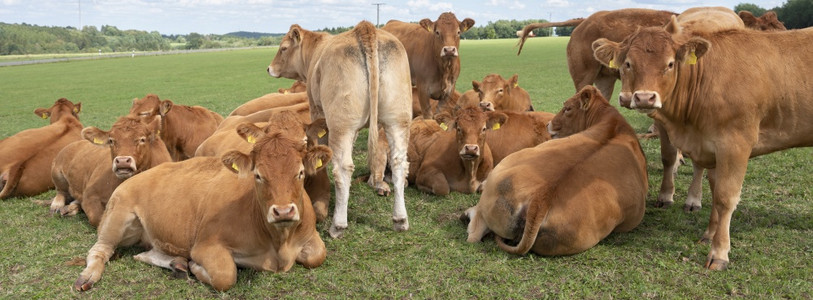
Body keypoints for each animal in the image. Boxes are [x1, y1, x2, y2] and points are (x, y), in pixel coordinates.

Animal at [73, 120, 330, 292]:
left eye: (300, 173)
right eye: (258, 175)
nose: (283, 211)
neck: (278, 243)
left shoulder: (310, 235)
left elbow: (318, 255)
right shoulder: (206, 245)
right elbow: (225, 275)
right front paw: (196, 268)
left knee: (148, 251)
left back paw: (176, 263)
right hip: (117, 215)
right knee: (100, 250)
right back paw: (88, 276)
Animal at [268, 20, 412, 239]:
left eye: (283, 48)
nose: (269, 68)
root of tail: (365, 28)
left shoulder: (317, 111)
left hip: (341, 123)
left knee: (343, 168)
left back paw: (338, 225)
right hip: (397, 119)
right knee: (399, 162)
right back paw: (400, 220)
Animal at [588, 15, 812, 270]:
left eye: (670, 64)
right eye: (628, 63)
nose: (644, 98)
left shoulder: (735, 145)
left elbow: (725, 197)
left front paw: (719, 252)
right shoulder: (711, 147)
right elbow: (714, 192)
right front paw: (708, 235)